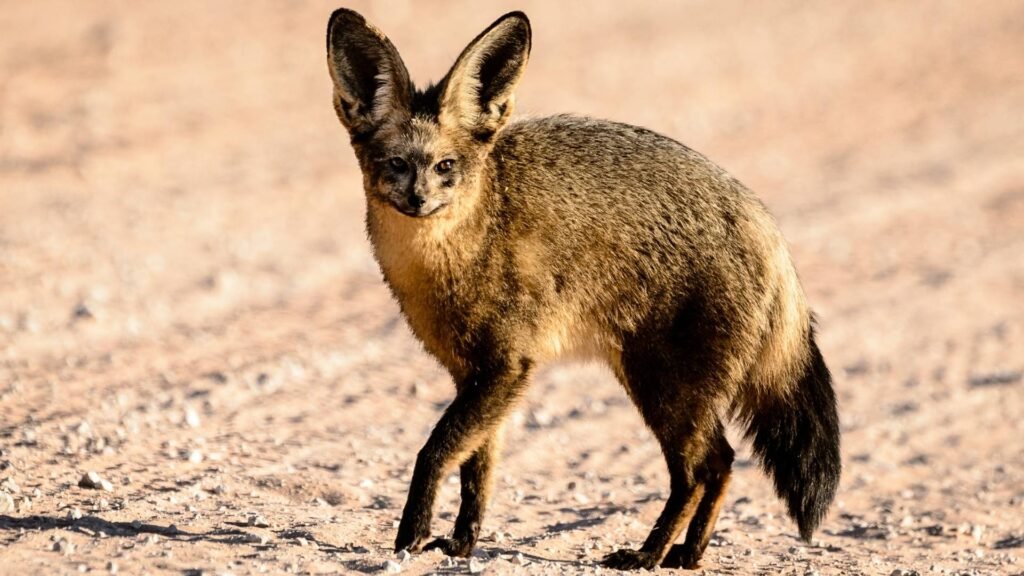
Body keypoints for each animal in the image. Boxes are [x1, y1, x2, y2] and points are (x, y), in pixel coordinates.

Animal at [325, 8, 840, 571]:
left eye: (446, 167)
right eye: (396, 164)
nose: (418, 200)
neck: (459, 254)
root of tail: (767, 227)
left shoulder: (506, 366)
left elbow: (434, 453)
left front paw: (410, 537)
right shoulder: (477, 376)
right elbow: (477, 470)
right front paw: (461, 544)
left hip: (661, 388)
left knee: (699, 471)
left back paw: (647, 554)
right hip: (669, 390)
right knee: (723, 463)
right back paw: (687, 554)